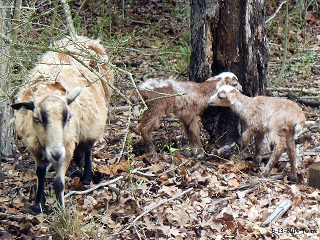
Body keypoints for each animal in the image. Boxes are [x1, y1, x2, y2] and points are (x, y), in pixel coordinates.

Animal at [11, 34, 114, 213]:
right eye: (37, 118)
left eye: (67, 118)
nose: (56, 154)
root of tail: (82, 38)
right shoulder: (33, 146)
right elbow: (40, 173)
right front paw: (38, 204)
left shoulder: (68, 145)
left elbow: (58, 183)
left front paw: (61, 210)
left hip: (94, 122)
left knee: (89, 148)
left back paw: (87, 177)